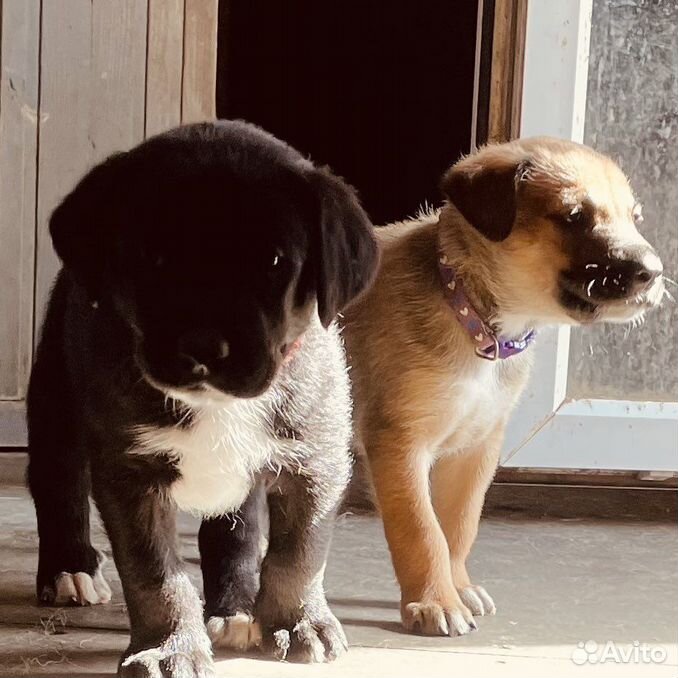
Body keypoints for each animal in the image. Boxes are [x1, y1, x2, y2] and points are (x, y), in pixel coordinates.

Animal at [26, 119, 378, 676]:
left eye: (274, 261)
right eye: (153, 258)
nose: (203, 346)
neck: (218, 405)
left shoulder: (314, 460)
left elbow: (298, 552)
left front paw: (297, 620)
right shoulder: (131, 476)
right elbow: (154, 574)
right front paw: (168, 644)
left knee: (235, 530)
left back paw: (234, 607)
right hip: (55, 401)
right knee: (57, 484)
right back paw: (69, 569)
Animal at [348, 137, 668, 636]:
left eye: (634, 217)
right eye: (574, 216)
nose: (653, 273)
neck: (474, 319)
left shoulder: (476, 447)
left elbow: (459, 524)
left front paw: (459, 587)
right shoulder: (399, 441)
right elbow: (421, 530)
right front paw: (436, 602)